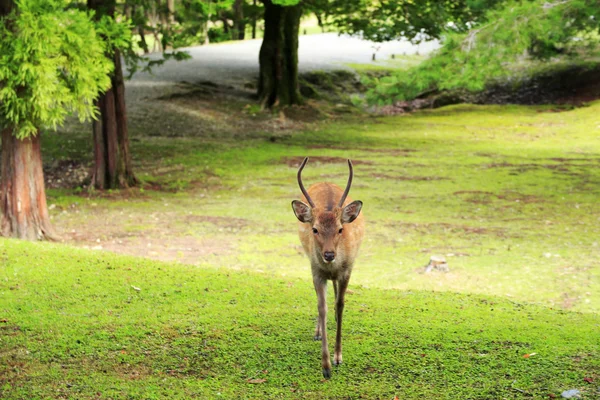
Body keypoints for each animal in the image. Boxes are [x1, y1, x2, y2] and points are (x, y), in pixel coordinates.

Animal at [290, 157, 366, 378]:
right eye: (315, 229)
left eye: (340, 229)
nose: (329, 254)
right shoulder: (316, 271)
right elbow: (321, 307)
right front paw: (325, 367)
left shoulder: (347, 270)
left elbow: (340, 305)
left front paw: (338, 357)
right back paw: (317, 332)